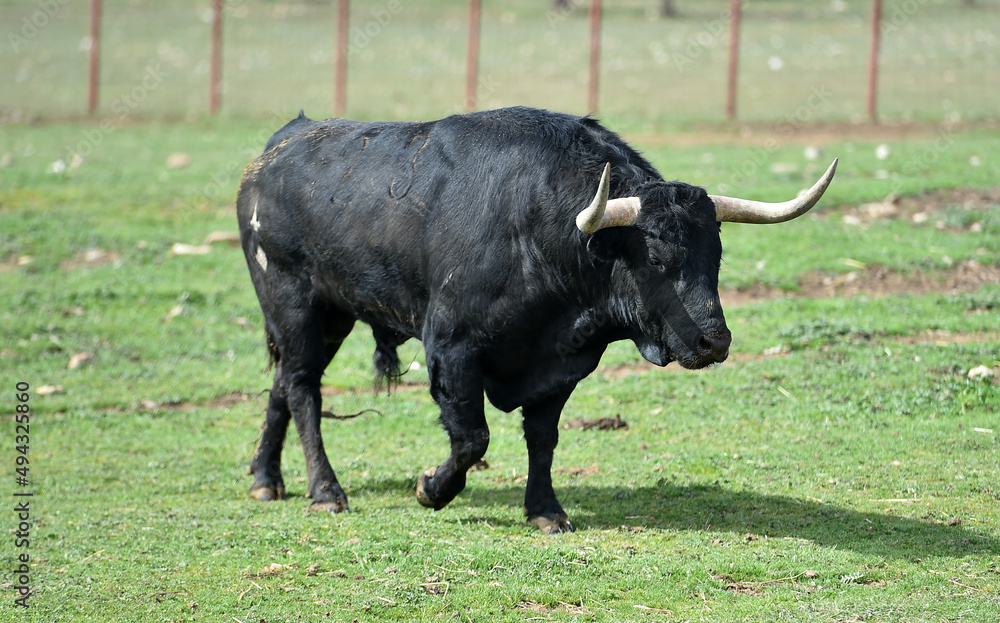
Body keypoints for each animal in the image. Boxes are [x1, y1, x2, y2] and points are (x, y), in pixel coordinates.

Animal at [236, 105, 836, 532]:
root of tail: (272, 154)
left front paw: (546, 510)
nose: (715, 342)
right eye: (657, 258)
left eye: (716, 255)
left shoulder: (563, 365)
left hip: (328, 317)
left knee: (282, 384)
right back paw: (325, 491)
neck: (537, 231)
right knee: (303, 389)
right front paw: (431, 489)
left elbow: (543, 438)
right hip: (294, 303)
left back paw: (266, 479)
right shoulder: (450, 349)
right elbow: (471, 438)